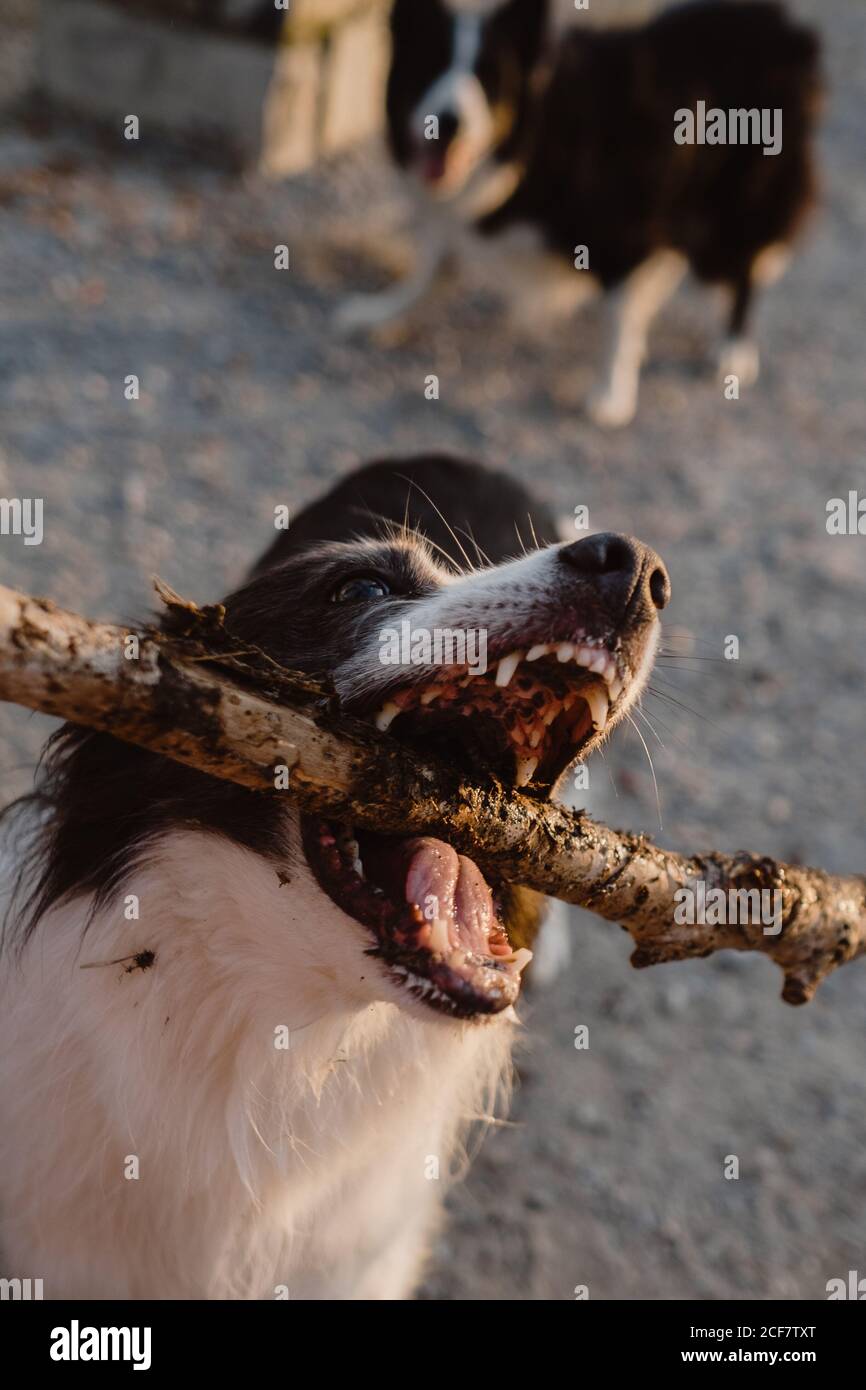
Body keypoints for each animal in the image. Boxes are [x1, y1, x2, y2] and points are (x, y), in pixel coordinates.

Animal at [337, 0, 817, 425]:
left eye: (489, 81)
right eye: (430, 64)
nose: (450, 121)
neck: (535, 139)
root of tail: (787, 28)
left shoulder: (627, 234)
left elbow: (616, 321)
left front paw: (612, 395)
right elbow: (434, 269)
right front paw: (384, 311)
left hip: (733, 208)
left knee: (744, 271)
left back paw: (733, 350)